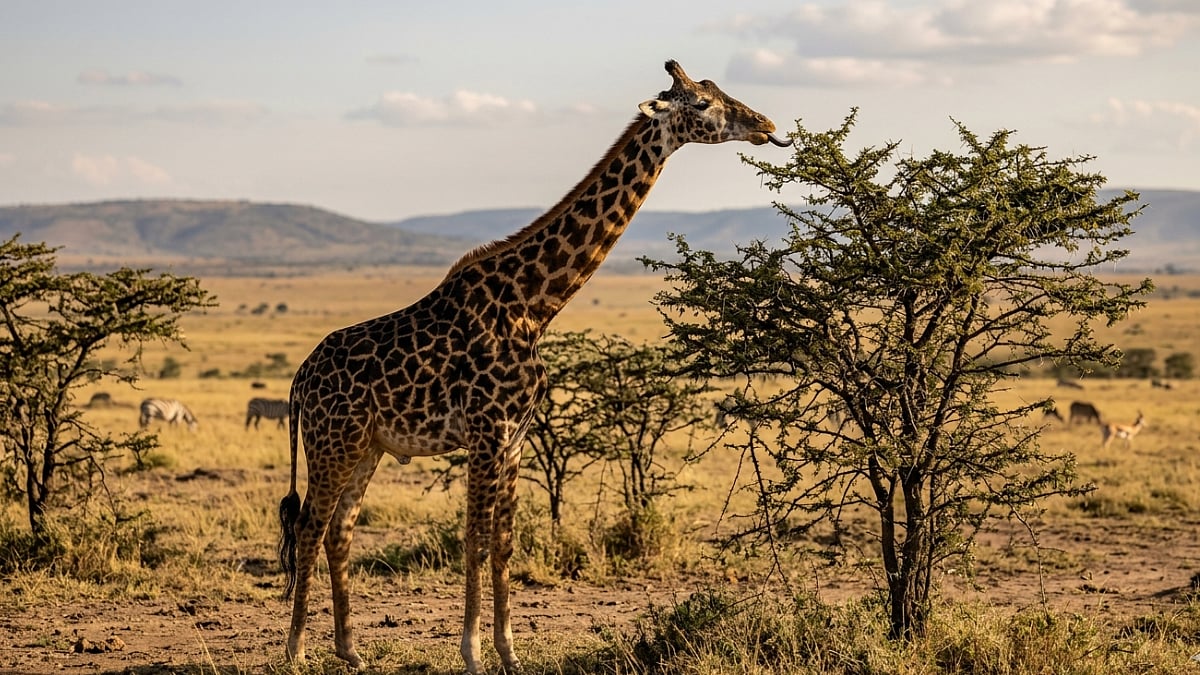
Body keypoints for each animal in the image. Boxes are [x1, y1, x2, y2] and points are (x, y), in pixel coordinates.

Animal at [277, 59, 790, 674]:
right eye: (702, 104)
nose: (767, 125)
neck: (534, 305)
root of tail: (299, 381)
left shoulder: (516, 436)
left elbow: (503, 540)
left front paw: (508, 650)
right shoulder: (487, 430)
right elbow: (473, 537)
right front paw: (473, 653)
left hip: (367, 446)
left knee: (340, 530)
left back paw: (350, 649)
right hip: (332, 442)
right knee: (309, 526)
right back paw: (295, 650)